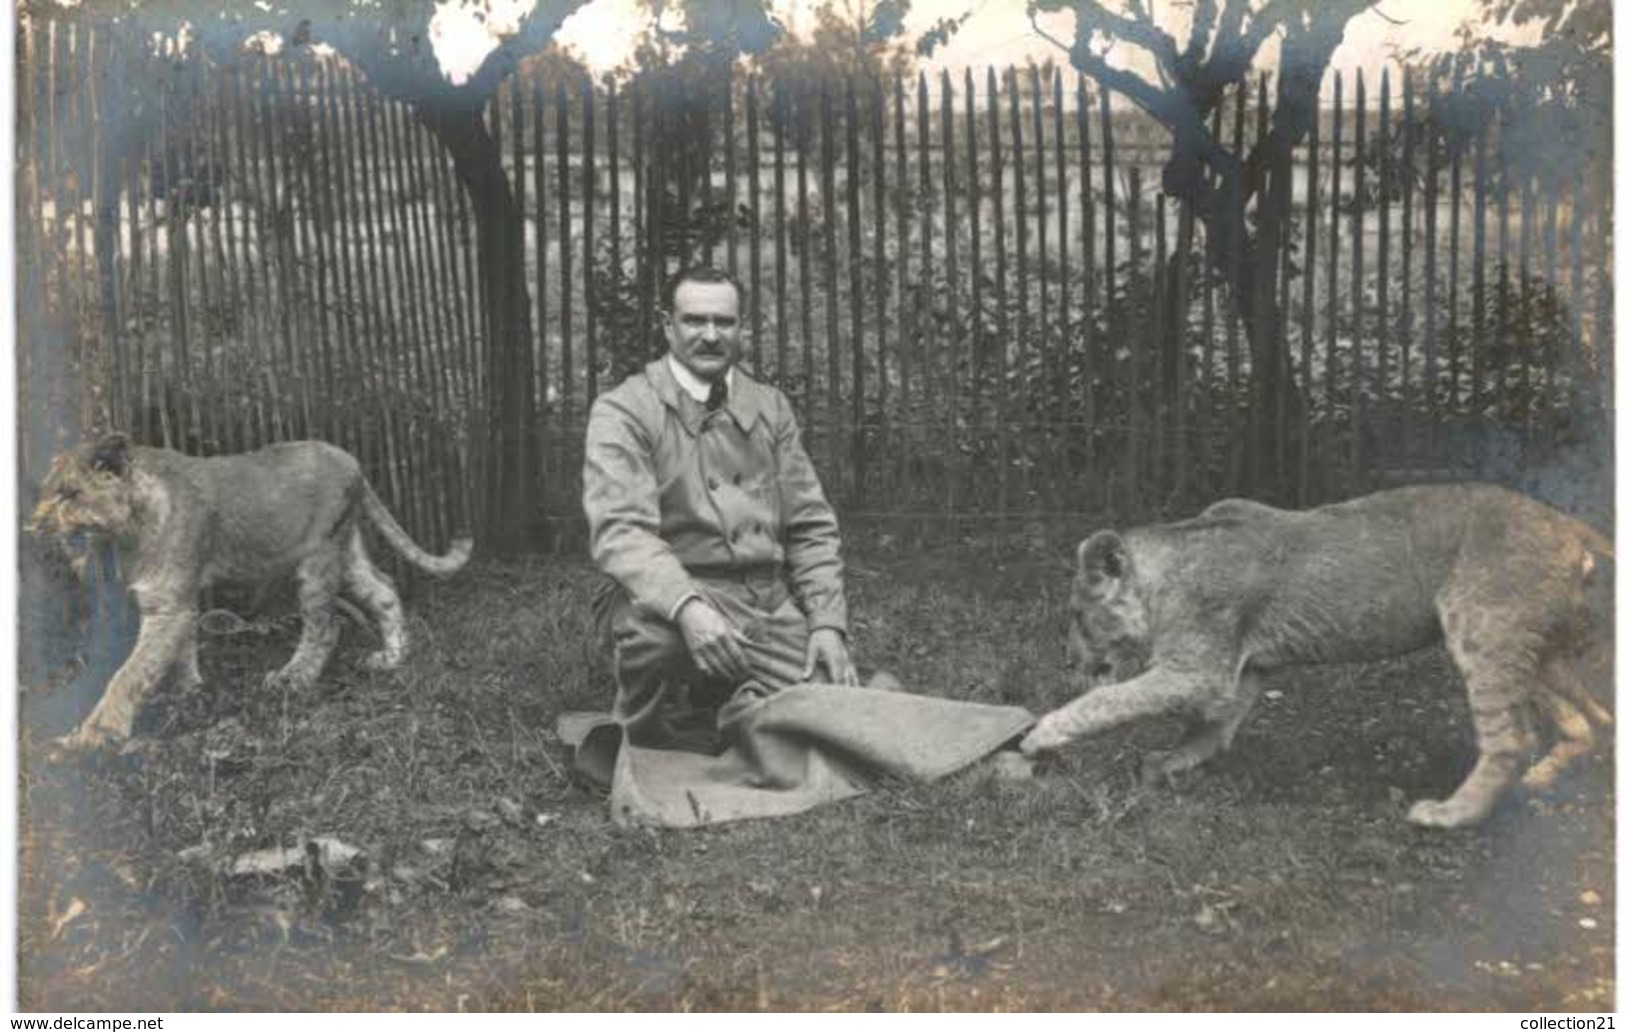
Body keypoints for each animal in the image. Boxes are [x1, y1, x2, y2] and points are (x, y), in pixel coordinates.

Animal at [27, 432, 471, 747]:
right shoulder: (179, 600)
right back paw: (392, 659)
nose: (32, 528)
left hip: (318, 556)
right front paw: (190, 691)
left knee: (325, 625)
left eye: (69, 495)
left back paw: (294, 679)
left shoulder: (167, 603)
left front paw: (93, 736)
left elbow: (129, 672)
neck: (125, 532)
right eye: (48, 493)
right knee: (383, 588)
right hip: (346, 549)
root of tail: (353, 462)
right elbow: (177, 652)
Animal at [1020, 487, 1605, 832]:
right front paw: (1169, 763)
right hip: (1533, 649)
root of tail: (1568, 526)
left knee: (1512, 739)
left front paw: (1041, 733)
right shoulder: (1243, 670)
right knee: (1593, 720)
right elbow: (1211, 728)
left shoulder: (1199, 669)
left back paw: (1449, 814)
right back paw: (1541, 781)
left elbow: (1108, 700)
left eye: (1076, 614)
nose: (1067, 658)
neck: (1168, 565)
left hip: (1482, 628)